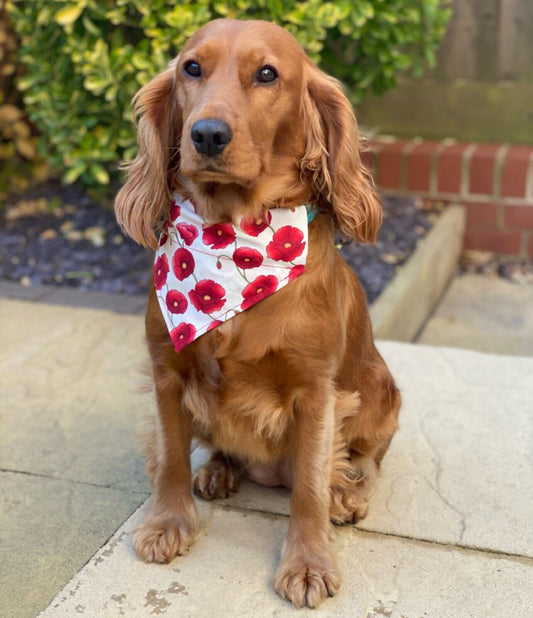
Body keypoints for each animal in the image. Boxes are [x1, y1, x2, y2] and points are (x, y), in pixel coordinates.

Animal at [115, 18, 400, 608]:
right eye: (191, 68)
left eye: (267, 74)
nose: (206, 134)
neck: (233, 242)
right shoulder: (165, 371)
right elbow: (171, 456)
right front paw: (169, 523)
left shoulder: (316, 393)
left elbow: (309, 487)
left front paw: (308, 562)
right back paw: (219, 471)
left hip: (382, 390)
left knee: (365, 456)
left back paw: (348, 492)